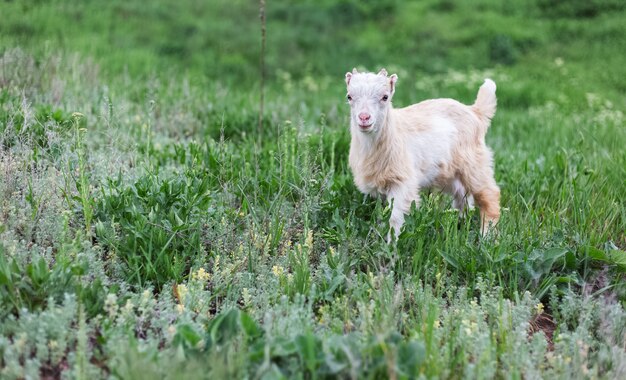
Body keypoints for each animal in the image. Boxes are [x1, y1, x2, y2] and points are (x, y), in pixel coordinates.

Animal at [344, 68, 500, 240]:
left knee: (489, 194)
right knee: (462, 194)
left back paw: (487, 236)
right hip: (449, 172)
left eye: (385, 97)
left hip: (474, 163)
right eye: (349, 96)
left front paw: (392, 242)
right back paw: (460, 224)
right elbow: (382, 214)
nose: (364, 118)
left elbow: (395, 216)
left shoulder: (403, 181)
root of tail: (475, 112)